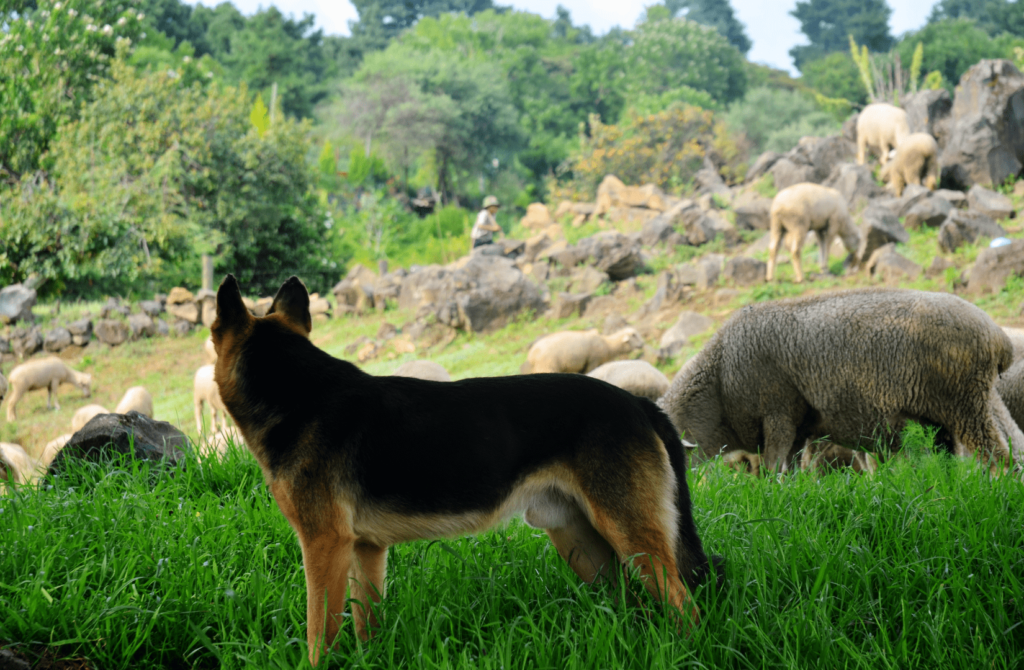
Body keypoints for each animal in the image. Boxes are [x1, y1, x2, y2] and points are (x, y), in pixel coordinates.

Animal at [658, 288, 1021, 473]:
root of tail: (997, 336)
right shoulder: (799, 426)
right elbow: (791, 465)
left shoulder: (778, 412)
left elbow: (775, 465)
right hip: (949, 410)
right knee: (959, 453)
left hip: (964, 403)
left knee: (996, 454)